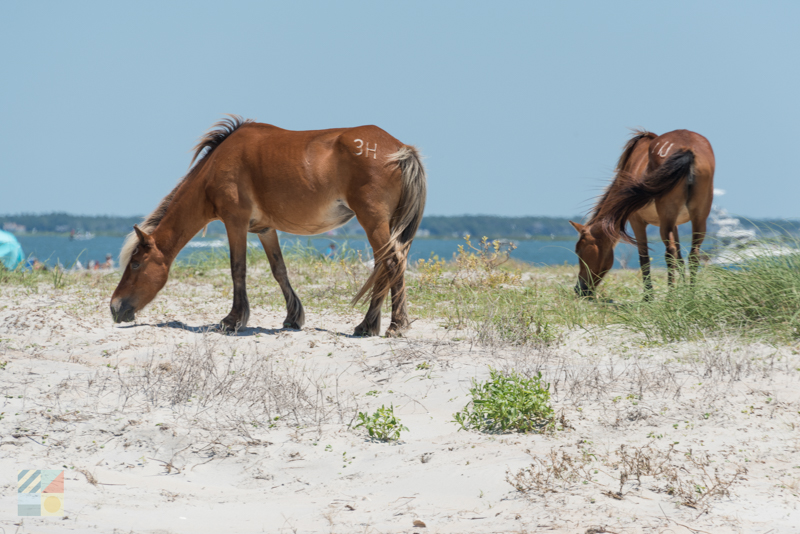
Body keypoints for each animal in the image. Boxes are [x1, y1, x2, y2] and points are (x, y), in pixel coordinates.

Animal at [111, 116, 432, 340]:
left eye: (136, 264)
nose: (114, 307)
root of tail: (400, 149)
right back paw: (371, 325)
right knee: (385, 266)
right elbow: (279, 270)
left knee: (391, 263)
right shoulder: (265, 230)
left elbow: (237, 269)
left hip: (372, 220)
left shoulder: (235, 222)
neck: (216, 166)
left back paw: (392, 326)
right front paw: (293, 317)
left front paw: (233, 320)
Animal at [564, 128, 716, 300]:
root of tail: (687, 149)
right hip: (697, 218)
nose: (579, 289)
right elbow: (680, 258)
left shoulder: (636, 221)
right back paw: (691, 296)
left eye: (578, 251)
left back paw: (670, 298)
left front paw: (648, 297)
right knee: (693, 254)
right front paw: (683, 292)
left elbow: (644, 259)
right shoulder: (675, 224)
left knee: (669, 253)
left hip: (667, 220)